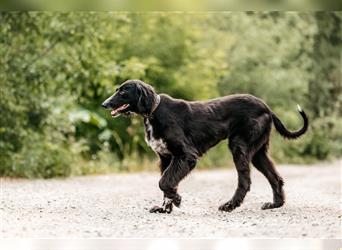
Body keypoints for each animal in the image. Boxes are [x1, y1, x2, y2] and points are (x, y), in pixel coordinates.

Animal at [101, 79, 308, 213]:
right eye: (118, 89)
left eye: (123, 91)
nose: (104, 104)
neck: (153, 112)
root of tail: (267, 108)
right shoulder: (166, 157)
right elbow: (166, 181)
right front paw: (165, 208)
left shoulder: (186, 155)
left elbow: (164, 181)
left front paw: (176, 200)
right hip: (258, 152)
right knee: (275, 178)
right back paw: (275, 205)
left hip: (239, 145)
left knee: (245, 181)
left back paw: (229, 206)